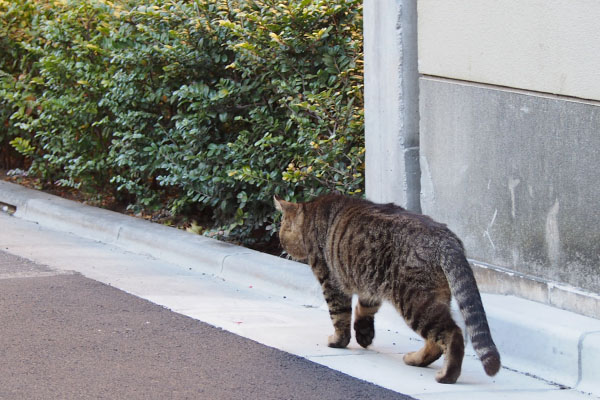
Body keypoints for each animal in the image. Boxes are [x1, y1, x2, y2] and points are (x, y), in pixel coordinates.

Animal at [274, 194, 500, 384]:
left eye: (282, 230)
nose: (280, 245)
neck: (311, 214)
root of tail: (446, 240)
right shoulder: (369, 285)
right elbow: (364, 310)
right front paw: (363, 335)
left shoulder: (330, 281)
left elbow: (339, 316)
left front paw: (338, 341)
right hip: (434, 297)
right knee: (436, 341)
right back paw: (415, 359)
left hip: (415, 301)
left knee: (453, 334)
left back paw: (447, 375)